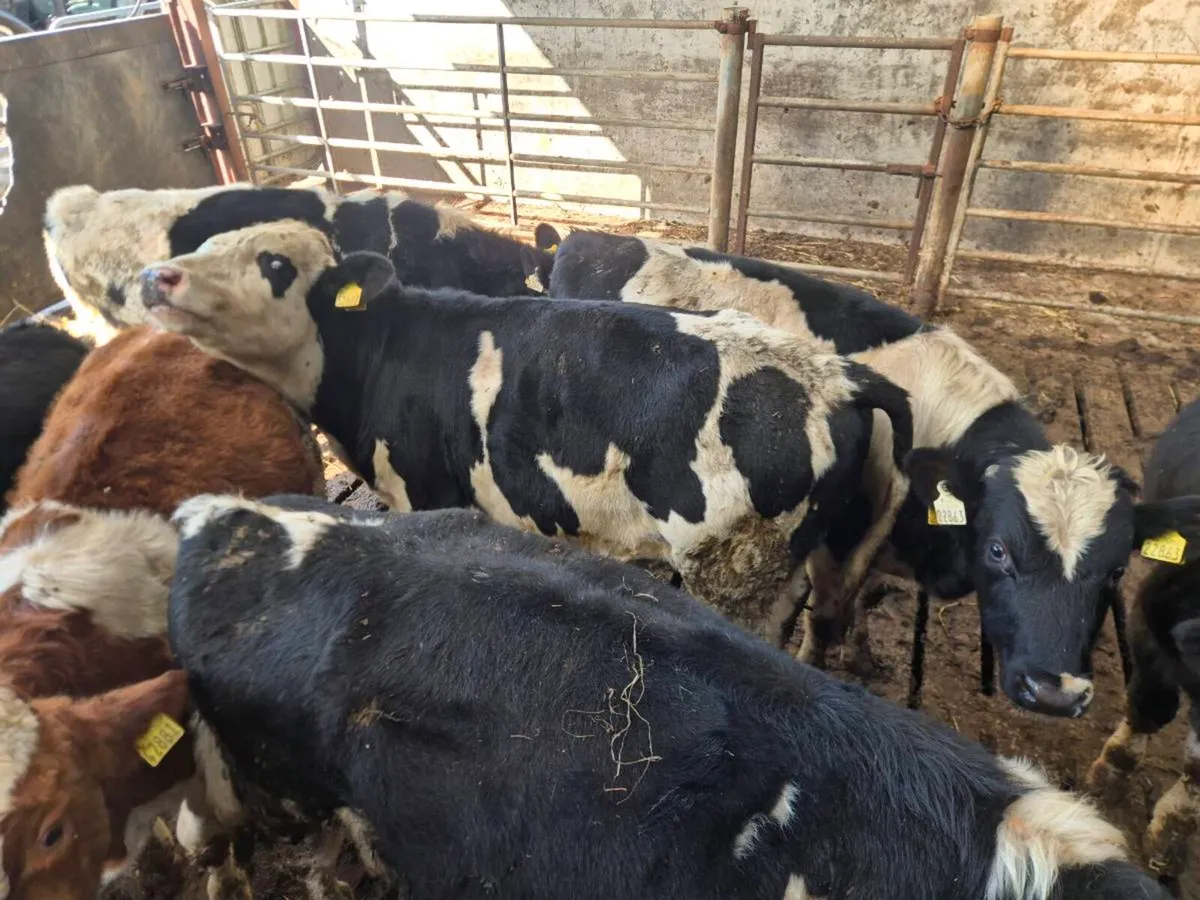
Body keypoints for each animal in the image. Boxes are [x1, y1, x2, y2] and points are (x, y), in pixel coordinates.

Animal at [137, 219, 915, 645]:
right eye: (209, 241)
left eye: (273, 263)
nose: (155, 276)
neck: (385, 352)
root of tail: (839, 375)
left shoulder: (424, 497)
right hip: (792, 563)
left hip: (732, 569)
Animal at [534, 228, 1200, 720]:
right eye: (1000, 550)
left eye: (1117, 571)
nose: (1057, 693)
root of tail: (589, 239)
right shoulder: (840, 540)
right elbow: (827, 618)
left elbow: (862, 607)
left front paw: (863, 655)